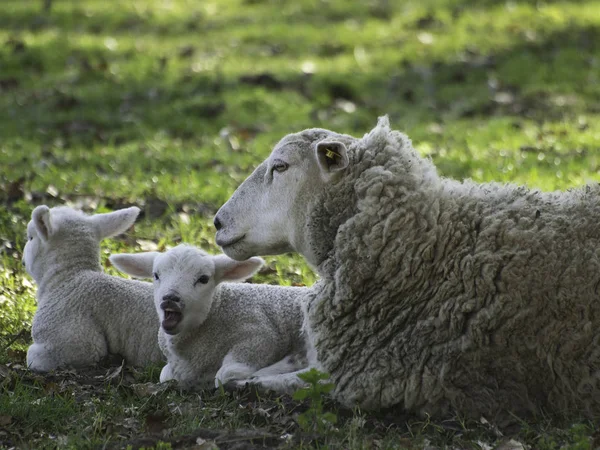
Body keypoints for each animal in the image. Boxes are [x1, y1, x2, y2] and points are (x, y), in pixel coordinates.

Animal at [110, 244, 310, 388]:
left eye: (203, 279)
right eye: (156, 275)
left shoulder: (259, 332)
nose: (170, 298)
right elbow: (165, 375)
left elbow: (225, 374)